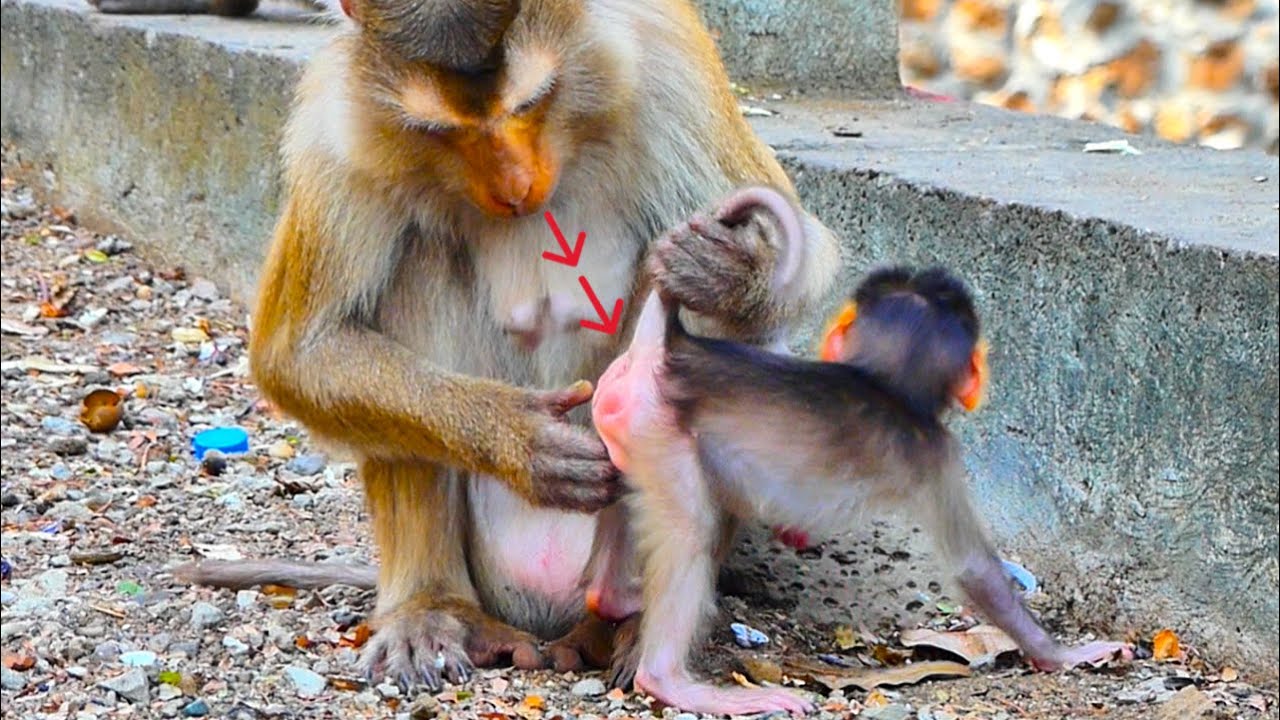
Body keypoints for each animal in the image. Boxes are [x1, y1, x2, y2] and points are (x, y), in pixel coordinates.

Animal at [170, 0, 841, 692]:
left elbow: (799, 248)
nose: (517, 188)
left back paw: (640, 620)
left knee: (724, 331)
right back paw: (433, 610)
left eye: (533, 101)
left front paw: (729, 270)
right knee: (409, 276)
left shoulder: (666, 52)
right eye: (438, 129)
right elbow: (302, 349)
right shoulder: (336, 124)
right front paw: (520, 440)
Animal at [584, 263, 1133, 715]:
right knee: (692, 529)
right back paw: (670, 679)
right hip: (658, 431)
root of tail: (670, 349)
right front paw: (1065, 654)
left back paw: (615, 598)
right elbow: (973, 569)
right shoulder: (938, 453)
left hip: (628, 431)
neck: (883, 382)